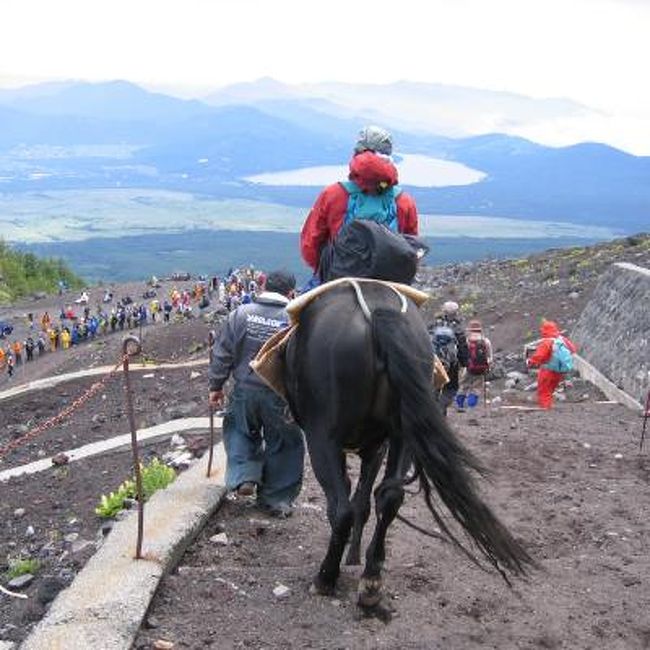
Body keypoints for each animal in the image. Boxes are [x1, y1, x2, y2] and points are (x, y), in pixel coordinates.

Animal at [284, 282, 532, 608]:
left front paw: (346, 559)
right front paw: (354, 556)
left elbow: (353, 500)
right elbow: (364, 501)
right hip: (402, 435)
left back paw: (325, 579)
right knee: (389, 498)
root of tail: (378, 309)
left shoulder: (352, 445)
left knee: (341, 508)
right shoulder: (377, 447)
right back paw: (371, 581)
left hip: (322, 438)